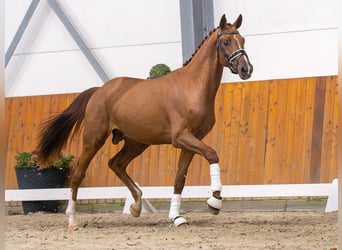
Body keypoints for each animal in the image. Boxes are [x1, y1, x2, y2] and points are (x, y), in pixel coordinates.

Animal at [37, 13, 252, 229]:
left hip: (136, 142)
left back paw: (136, 206)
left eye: (242, 40)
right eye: (225, 41)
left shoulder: (193, 140)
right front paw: (215, 201)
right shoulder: (181, 137)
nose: (246, 69)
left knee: (116, 164)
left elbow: (179, 179)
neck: (192, 87)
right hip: (93, 139)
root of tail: (99, 90)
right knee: (78, 173)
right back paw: (73, 219)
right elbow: (212, 154)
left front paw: (177, 217)